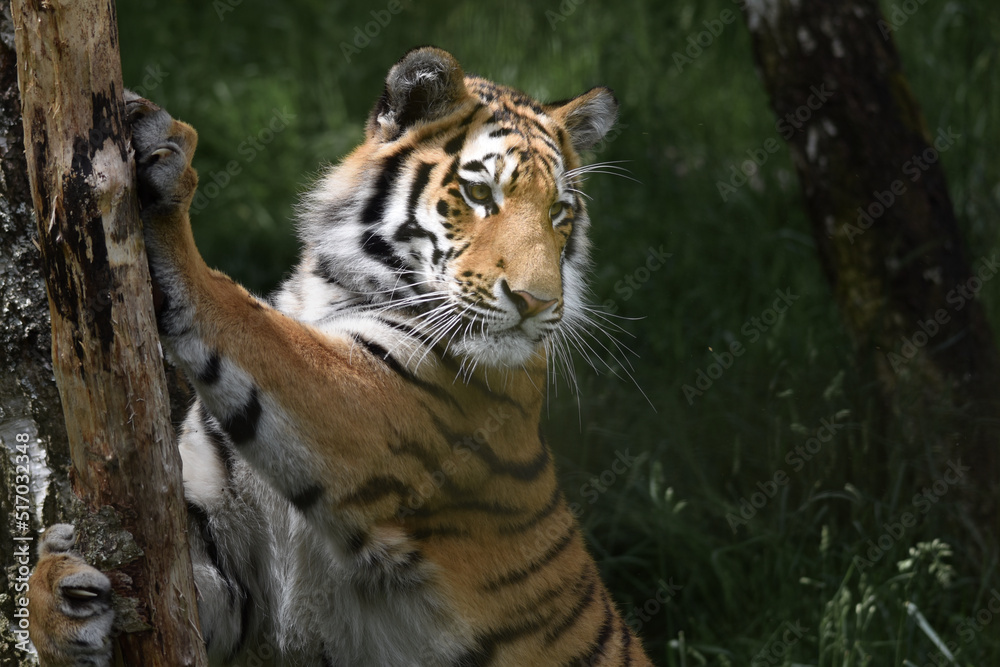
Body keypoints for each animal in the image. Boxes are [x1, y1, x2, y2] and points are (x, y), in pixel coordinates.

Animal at [29, 46, 653, 666]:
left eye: (558, 213)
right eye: (479, 195)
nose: (537, 301)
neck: (331, 287)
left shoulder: (373, 403)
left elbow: (244, 318)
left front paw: (165, 175)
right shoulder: (228, 565)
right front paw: (63, 592)